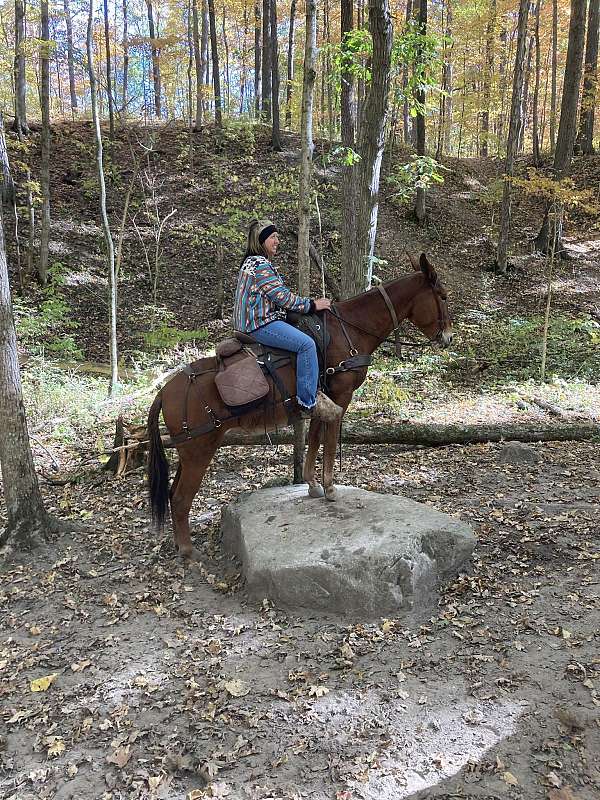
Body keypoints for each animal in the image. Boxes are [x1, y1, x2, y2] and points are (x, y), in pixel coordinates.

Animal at [148, 253, 452, 560]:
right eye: (442, 296)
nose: (448, 337)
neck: (349, 330)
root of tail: (165, 391)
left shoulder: (320, 398)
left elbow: (315, 437)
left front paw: (312, 484)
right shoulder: (341, 396)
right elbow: (329, 440)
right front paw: (329, 487)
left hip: (189, 451)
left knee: (174, 494)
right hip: (199, 448)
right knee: (181, 497)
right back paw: (188, 551)